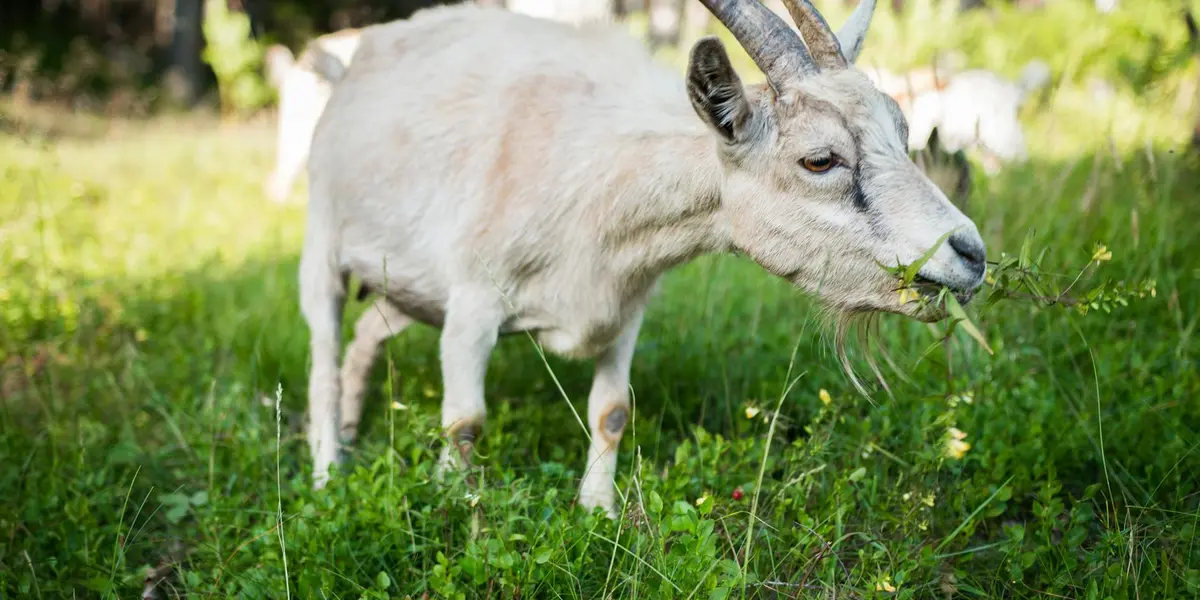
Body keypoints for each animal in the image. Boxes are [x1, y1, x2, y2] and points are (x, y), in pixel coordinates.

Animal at [299, 0, 989, 517]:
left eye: (903, 133)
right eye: (820, 159)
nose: (971, 254)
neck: (598, 176)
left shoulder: (625, 306)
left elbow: (611, 413)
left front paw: (597, 513)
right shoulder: (473, 303)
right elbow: (465, 423)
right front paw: (455, 510)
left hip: (406, 287)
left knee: (365, 339)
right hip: (324, 241)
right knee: (325, 357)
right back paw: (329, 474)